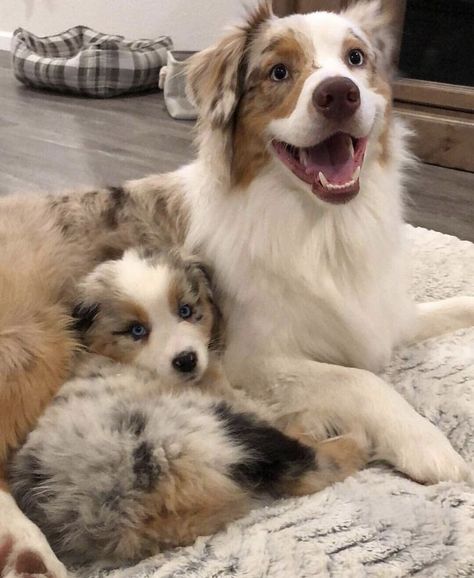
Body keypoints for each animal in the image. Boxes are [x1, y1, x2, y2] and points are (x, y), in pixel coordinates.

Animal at [9, 248, 368, 564]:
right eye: (137, 331)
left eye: (185, 311)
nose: (186, 360)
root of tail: (119, 508)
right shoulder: (230, 402)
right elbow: (273, 409)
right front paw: (318, 420)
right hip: (219, 431)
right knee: (310, 468)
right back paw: (353, 437)